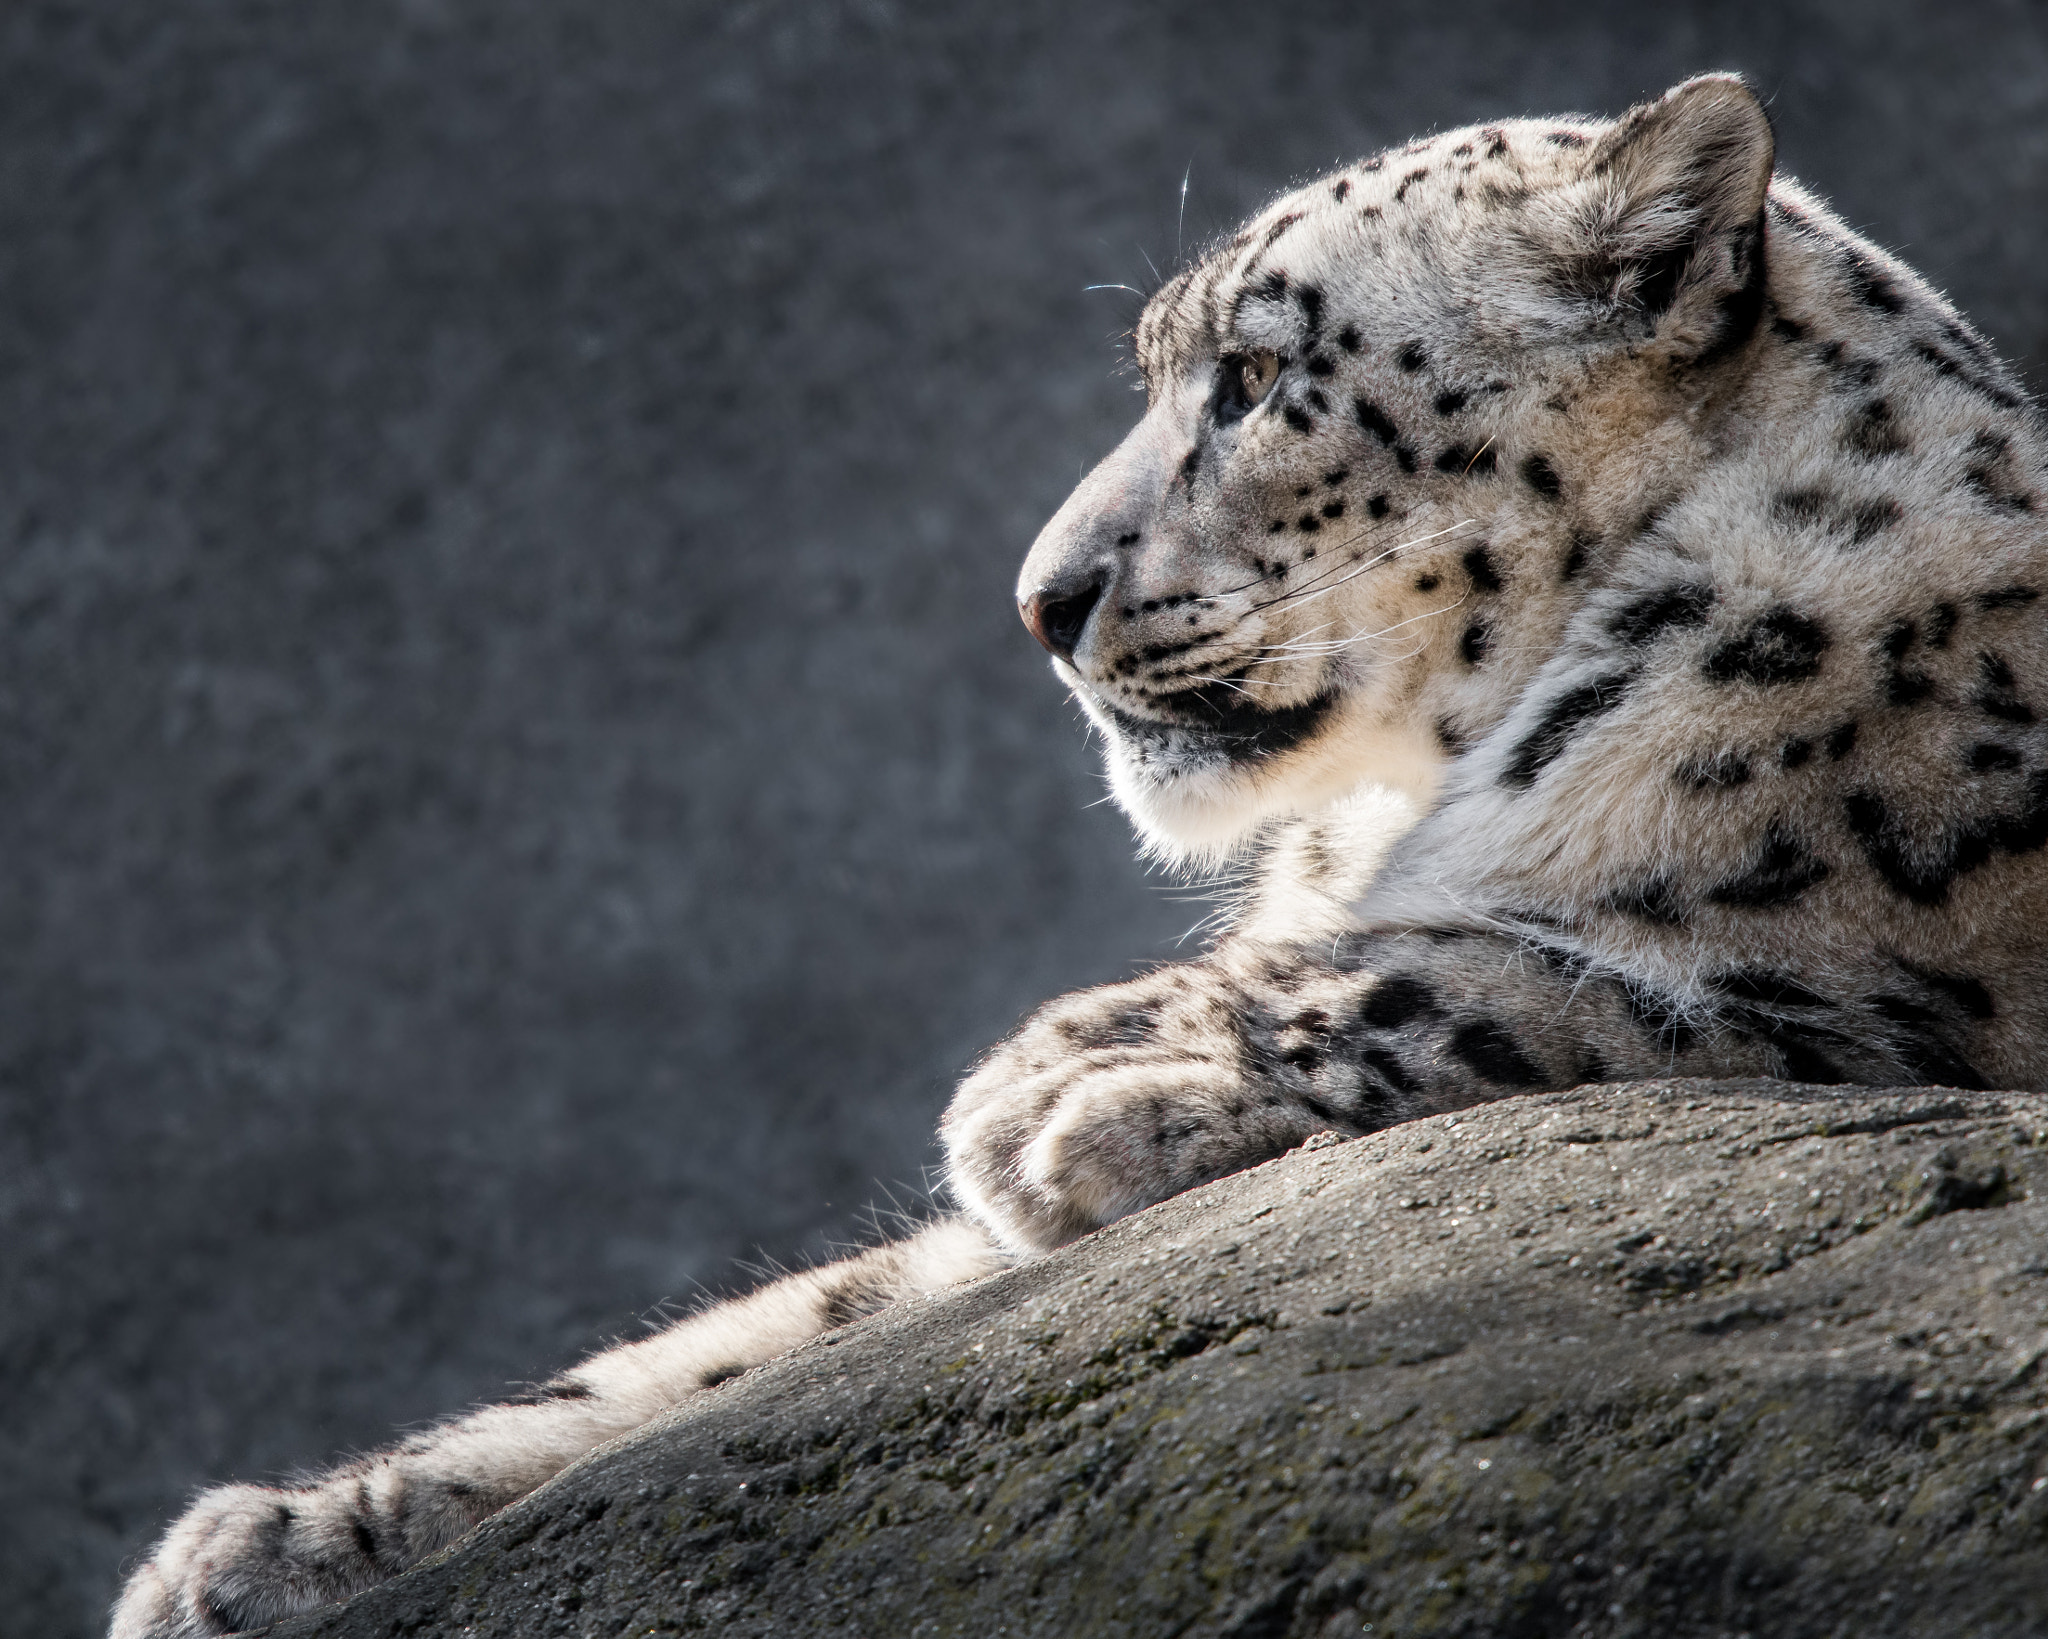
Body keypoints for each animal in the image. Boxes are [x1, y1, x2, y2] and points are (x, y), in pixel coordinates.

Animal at [113, 73, 2048, 1637]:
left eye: (1257, 377)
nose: (1042, 599)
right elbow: (797, 1322)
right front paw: (277, 1535)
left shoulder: (1932, 990)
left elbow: (1590, 980)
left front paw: (1078, 1076)